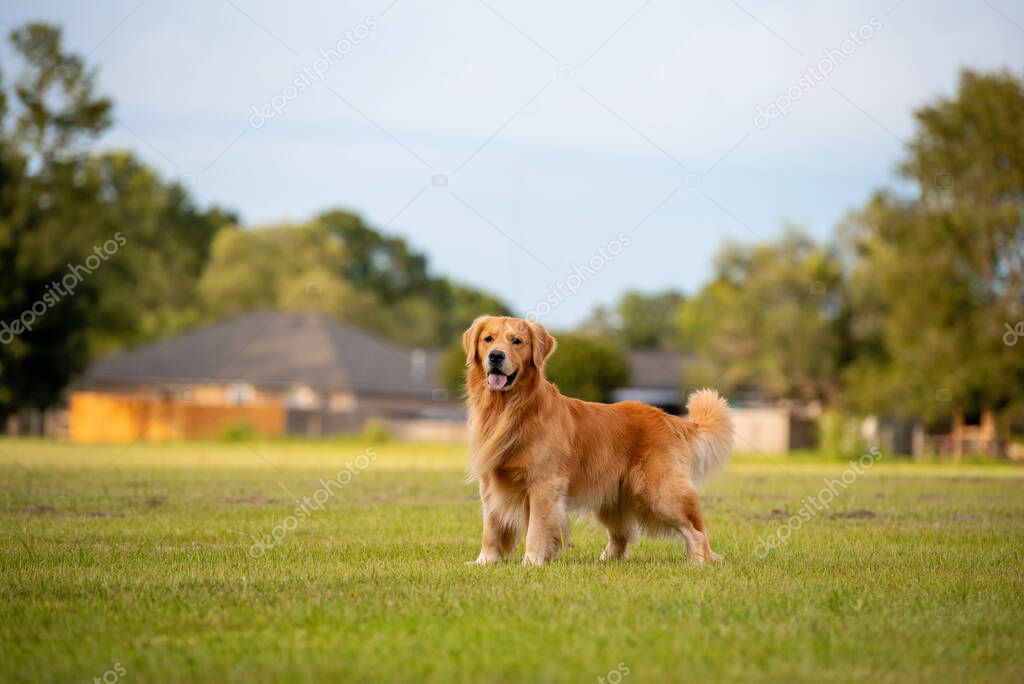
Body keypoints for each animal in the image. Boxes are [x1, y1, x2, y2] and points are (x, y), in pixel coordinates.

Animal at [460, 315, 733, 565]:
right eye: (488, 339)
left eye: (516, 341)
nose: (496, 356)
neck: (507, 409)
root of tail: (667, 417)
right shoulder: (489, 483)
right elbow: (491, 527)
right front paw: (485, 561)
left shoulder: (544, 484)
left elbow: (536, 529)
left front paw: (531, 562)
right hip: (614, 496)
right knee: (621, 535)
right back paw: (605, 560)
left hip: (661, 494)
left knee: (696, 530)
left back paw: (700, 561)